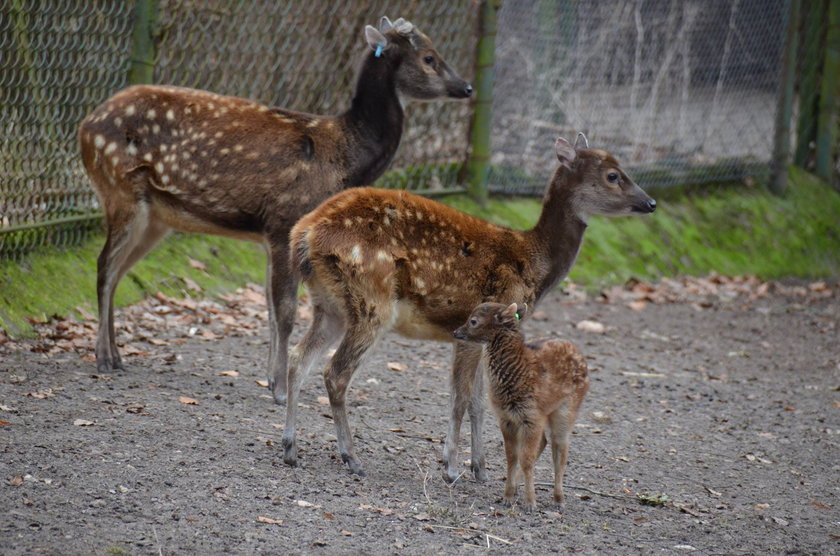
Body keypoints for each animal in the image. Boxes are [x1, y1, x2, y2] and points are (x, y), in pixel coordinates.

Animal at [77, 16, 472, 400]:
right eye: (429, 57)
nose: (467, 87)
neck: (344, 154)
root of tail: (85, 125)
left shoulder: (271, 234)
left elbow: (269, 308)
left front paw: (270, 379)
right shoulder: (285, 220)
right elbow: (284, 311)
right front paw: (280, 388)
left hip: (156, 217)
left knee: (118, 270)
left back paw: (117, 355)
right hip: (119, 189)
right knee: (105, 265)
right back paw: (105, 358)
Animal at [286, 135, 660, 478]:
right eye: (613, 175)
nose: (651, 202)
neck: (534, 263)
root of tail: (304, 234)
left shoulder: (480, 334)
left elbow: (479, 401)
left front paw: (479, 468)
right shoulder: (475, 322)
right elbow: (462, 397)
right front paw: (451, 466)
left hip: (329, 304)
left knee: (298, 358)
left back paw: (290, 448)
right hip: (372, 299)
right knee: (335, 372)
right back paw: (351, 457)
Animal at [456, 302, 588, 510]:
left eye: (474, 321)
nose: (456, 331)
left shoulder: (532, 415)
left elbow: (527, 459)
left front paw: (530, 502)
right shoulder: (506, 417)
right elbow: (512, 456)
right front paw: (508, 496)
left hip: (567, 408)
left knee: (560, 449)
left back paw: (559, 499)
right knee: (544, 443)